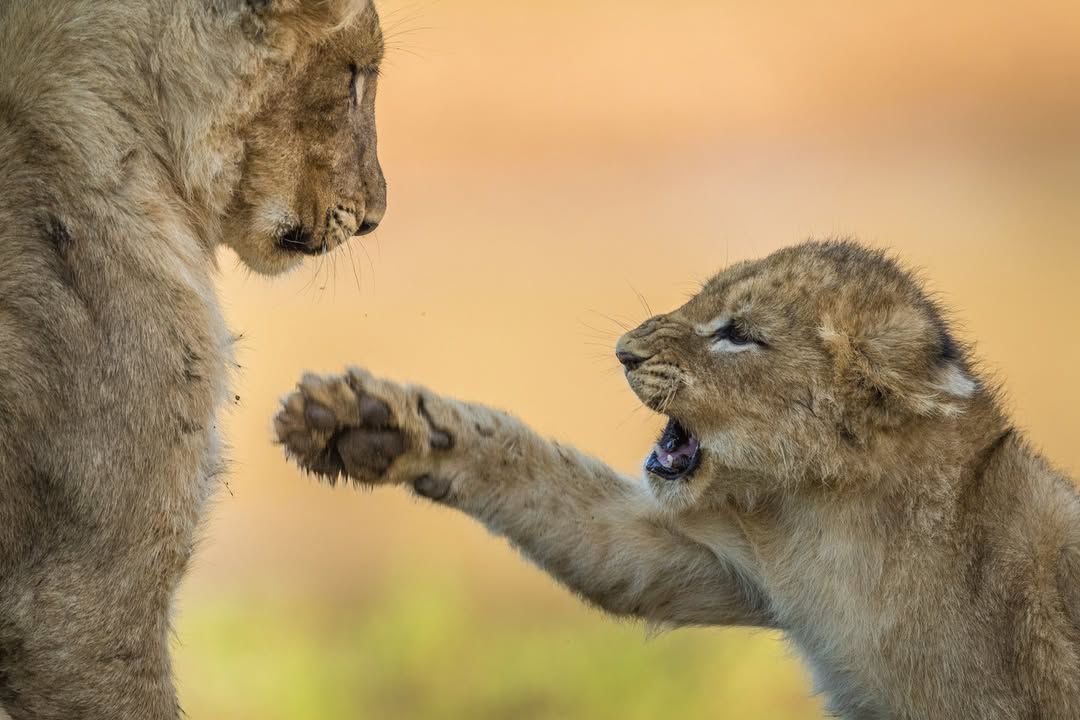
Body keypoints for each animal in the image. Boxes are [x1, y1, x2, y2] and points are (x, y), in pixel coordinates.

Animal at [276, 240, 1080, 719]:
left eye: (739, 334)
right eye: (701, 302)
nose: (624, 351)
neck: (830, 510)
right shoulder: (722, 560)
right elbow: (561, 500)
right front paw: (367, 421)